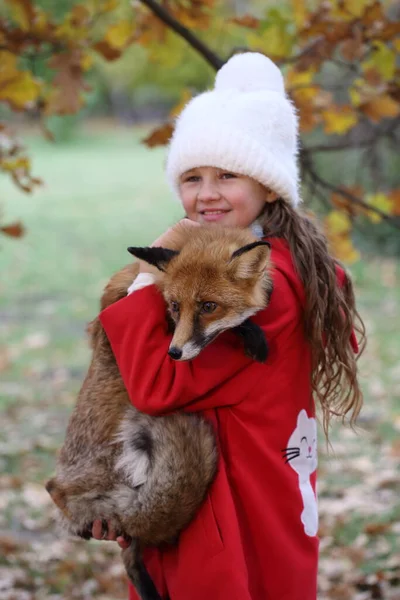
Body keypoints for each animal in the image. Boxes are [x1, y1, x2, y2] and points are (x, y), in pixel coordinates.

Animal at [46, 225, 272, 600]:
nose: (174, 354)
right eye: (175, 306)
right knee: (58, 491)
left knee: (132, 549)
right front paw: (252, 334)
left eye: (208, 306)